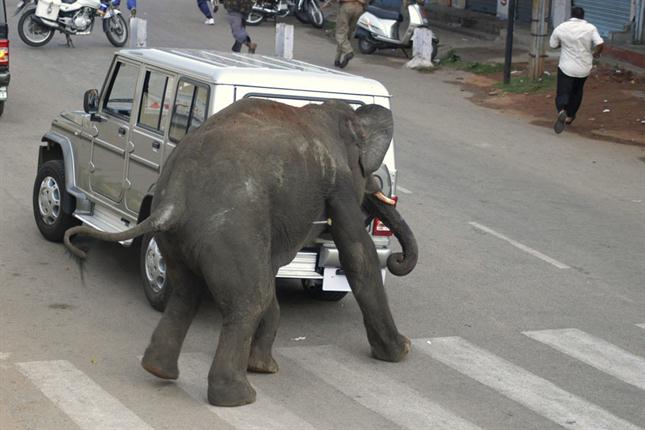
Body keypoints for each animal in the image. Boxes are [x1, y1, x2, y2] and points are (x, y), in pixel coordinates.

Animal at [64, 99, 418, 408]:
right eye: (369, 173)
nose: (398, 259)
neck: (326, 111)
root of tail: (175, 197)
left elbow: (272, 268)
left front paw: (263, 367)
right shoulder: (340, 183)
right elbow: (358, 256)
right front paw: (401, 351)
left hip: (182, 241)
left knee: (188, 294)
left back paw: (159, 370)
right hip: (230, 230)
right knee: (249, 299)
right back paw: (238, 397)